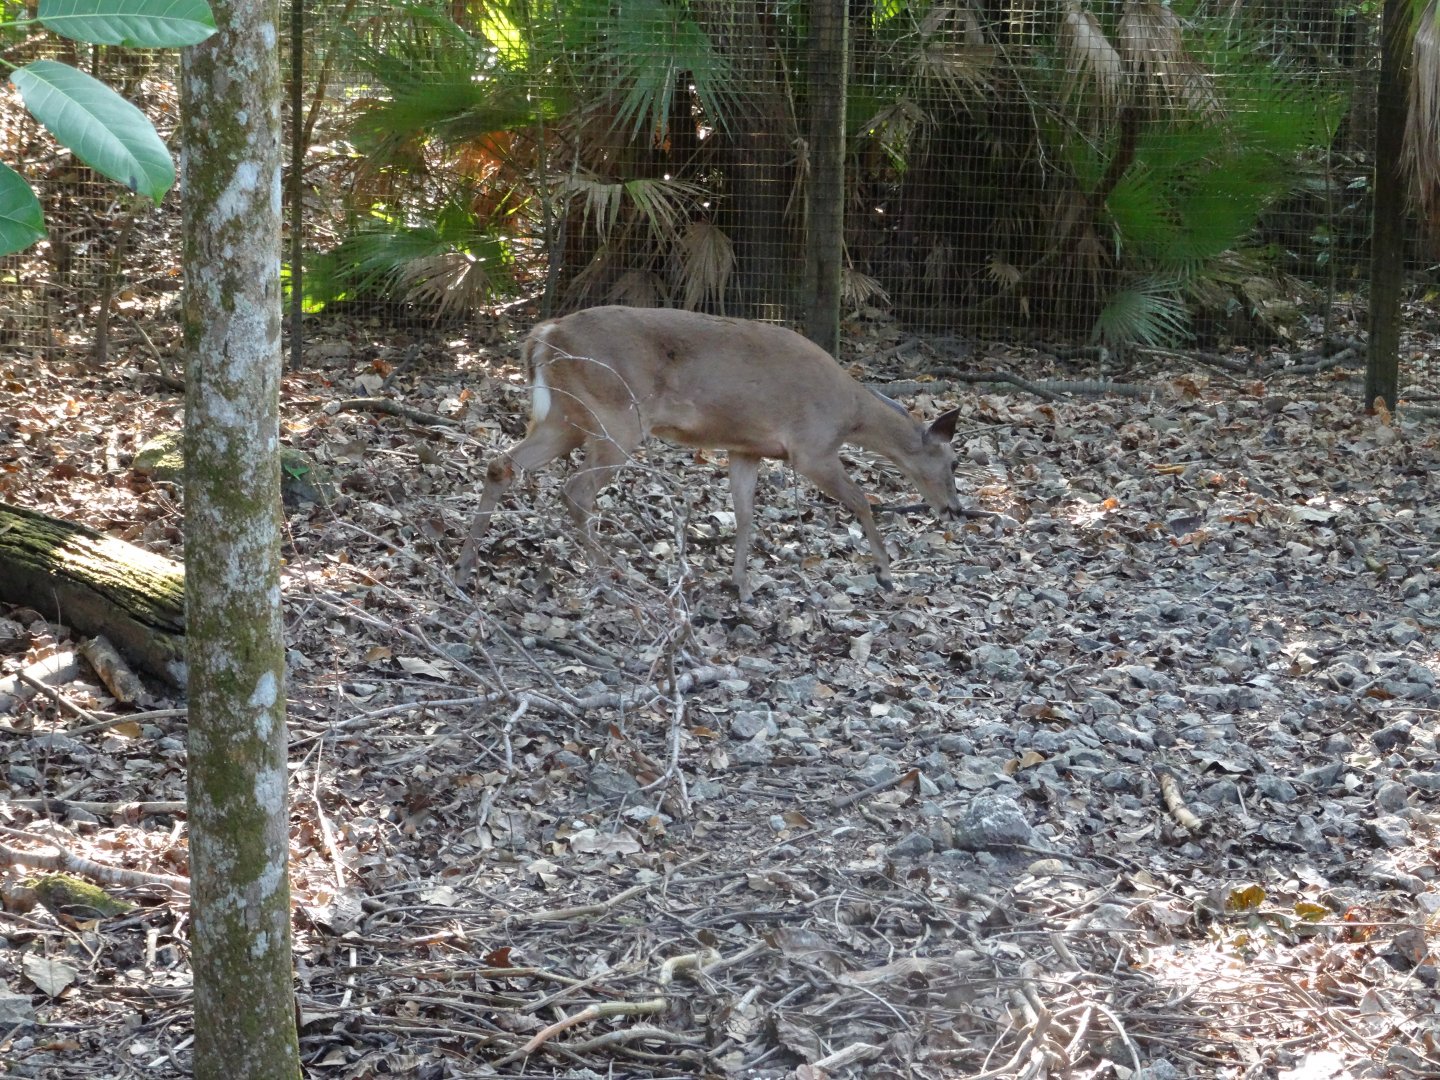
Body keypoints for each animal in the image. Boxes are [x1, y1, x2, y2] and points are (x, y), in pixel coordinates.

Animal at [458, 305, 962, 600]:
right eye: (953, 463)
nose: (956, 509)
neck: (852, 413)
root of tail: (544, 334)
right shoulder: (811, 449)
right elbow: (861, 500)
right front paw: (885, 572)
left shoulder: (746, 448)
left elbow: (745, 515)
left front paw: (740, 585)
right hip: (616, 416)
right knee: (576, 489)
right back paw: (614, 578)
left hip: (566, 417)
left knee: (502, 465)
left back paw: (466, 568)